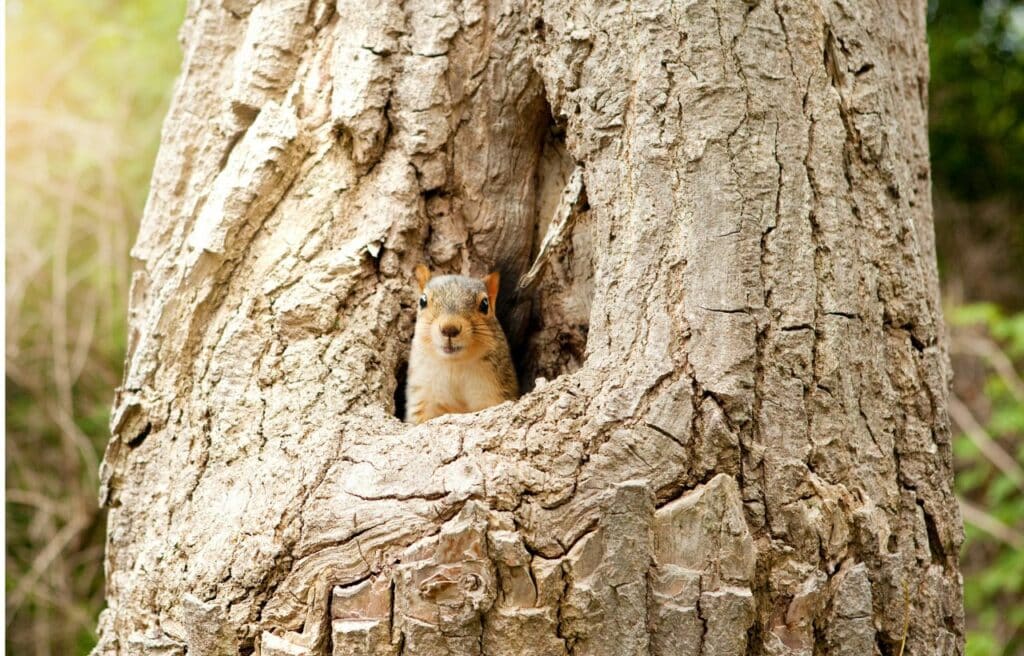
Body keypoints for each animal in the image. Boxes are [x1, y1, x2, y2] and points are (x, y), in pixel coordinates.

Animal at [405, 264, 520, 424]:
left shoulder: (495, 391)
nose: (449, 328)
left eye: (485, 304)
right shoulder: (424, 394)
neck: (455, 365)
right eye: (422, 301)